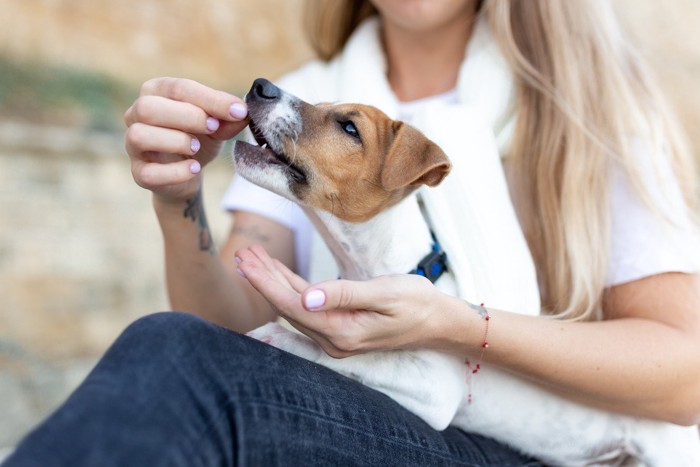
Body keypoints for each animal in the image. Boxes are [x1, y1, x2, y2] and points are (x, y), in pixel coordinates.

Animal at [232, 78, 696, 466]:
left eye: (349, 128)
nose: (261, 85)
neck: (385, 263)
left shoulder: (433, 386)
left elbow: (356, 357)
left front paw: (282, 337)